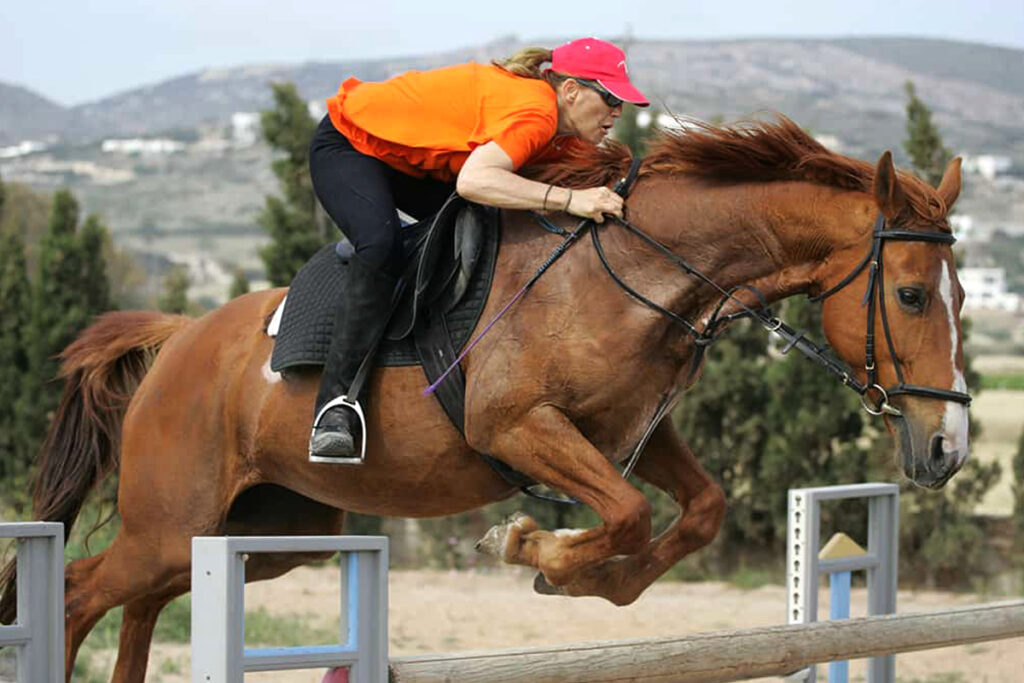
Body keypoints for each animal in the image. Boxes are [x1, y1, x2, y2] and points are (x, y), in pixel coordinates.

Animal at [1, 117, 970, 682]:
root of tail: (178, 339)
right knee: (81, 591)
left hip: (267, 533)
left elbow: (698, 510)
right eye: (913, 296)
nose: (947, 448)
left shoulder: (628, 430)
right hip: (175, 522)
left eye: (963, 294)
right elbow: (623, 512)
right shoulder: (518, 426)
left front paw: (587, 578)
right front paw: (532, 544)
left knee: (142, 601)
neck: (640, 270)